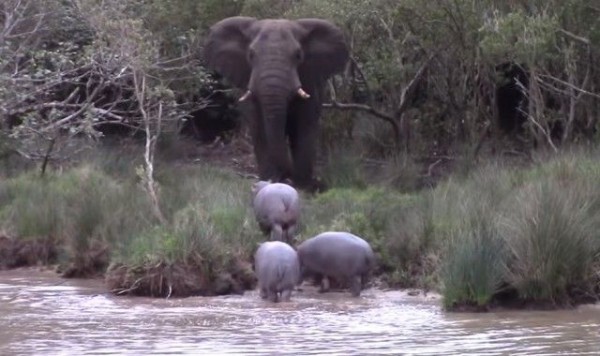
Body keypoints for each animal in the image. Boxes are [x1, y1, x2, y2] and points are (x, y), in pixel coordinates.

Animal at [204, 16, 350, 192]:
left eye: (298, 55)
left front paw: (303, 185)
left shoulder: (310, 82)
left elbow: (303, 127)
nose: (287, 176)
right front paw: (271, 180)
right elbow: (260, 128)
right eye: (251, 55)